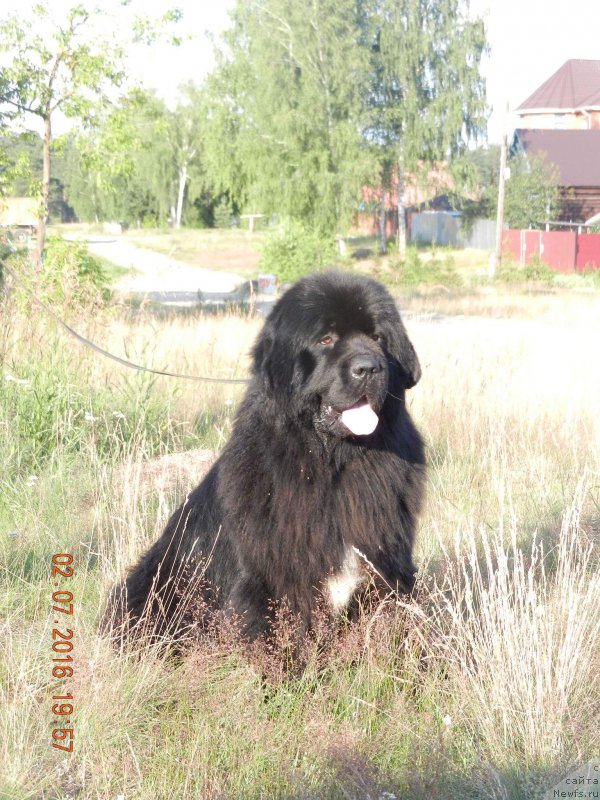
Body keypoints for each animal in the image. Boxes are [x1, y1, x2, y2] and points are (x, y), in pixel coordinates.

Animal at [109, 272, 426, 640]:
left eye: (377, 337)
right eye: (326, 339)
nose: (369, 368)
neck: (332, 463)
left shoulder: (389, 566)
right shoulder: (267, 584)